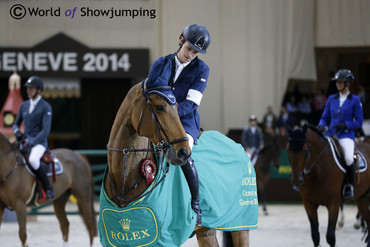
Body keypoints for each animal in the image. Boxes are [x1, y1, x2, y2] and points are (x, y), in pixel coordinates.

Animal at [102, 83, 250, 247]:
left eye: (177, 106)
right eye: (160, 107)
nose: (184, 153)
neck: (125, 180)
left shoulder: (163, 239)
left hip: (241, 227)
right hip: (206, 231)